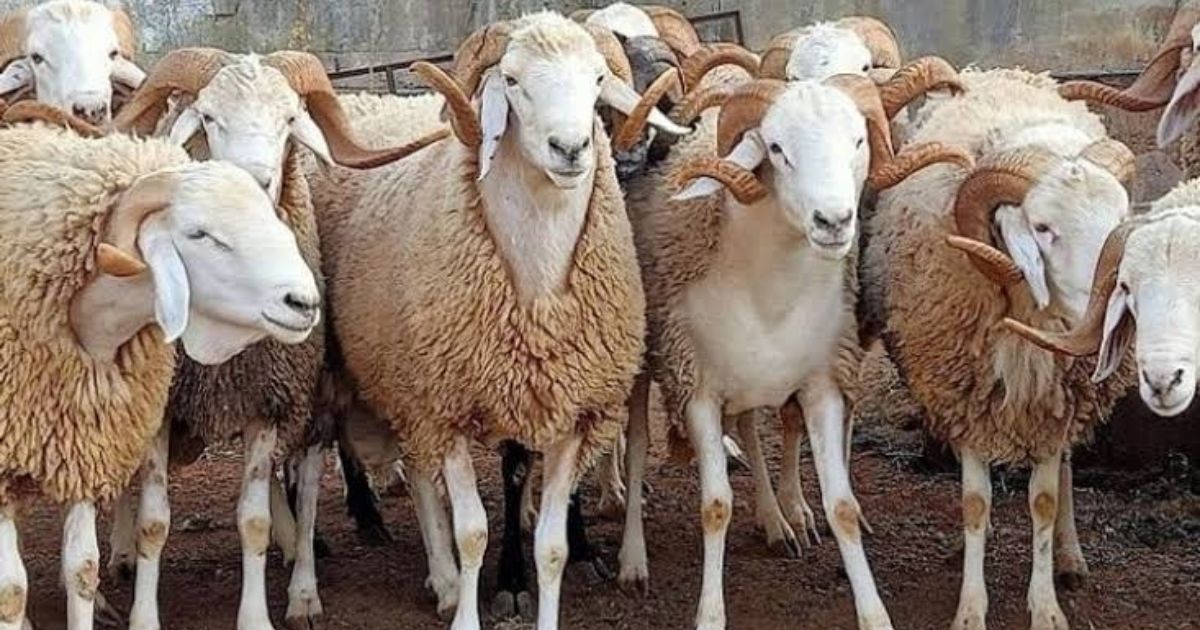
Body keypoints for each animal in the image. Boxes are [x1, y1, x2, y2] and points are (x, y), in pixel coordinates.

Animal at [106, 49, 444, 630]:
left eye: (289, 118)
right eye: (209, 117)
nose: (253, 183)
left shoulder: (269, 399)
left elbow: (254, 519)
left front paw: (261, 611)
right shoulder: (163, 409)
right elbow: (154, 520)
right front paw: (143, 612)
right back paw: (122, 554)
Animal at [311, 12, 690, 630]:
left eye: (597, 79)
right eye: (511, 81)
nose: (571, 147)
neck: (539, 295)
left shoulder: (568, 407)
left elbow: (550, 539)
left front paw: (561, 566)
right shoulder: (448, 404)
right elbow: (473, 531)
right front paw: (489, 593)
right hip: (386, 373)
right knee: (401, 469)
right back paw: (427, 567)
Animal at [862, 67, 1140, 630]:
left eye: (1119, 216)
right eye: (1043, 229)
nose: (1118, 298)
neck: (1028, 322)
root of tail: (1007, 74)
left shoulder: (1055, 404)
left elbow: (1045, 501)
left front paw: (1047, 607)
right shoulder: (964, 396)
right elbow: (975, 502)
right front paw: (970, 608)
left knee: (1068, 473)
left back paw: (1070, 557)